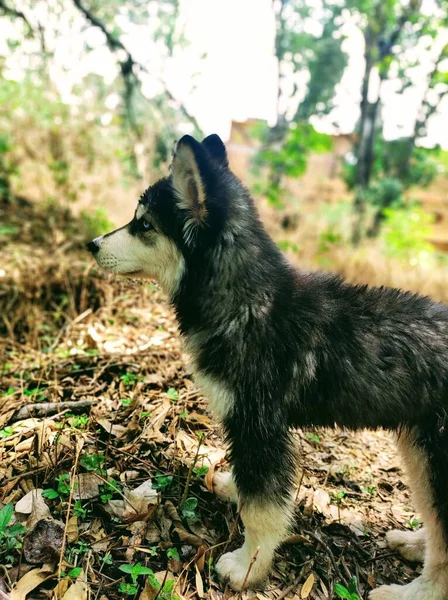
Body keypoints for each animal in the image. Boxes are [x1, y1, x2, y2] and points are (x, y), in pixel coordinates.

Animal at [87, 134, 448, 596]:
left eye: (145, 225)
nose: (91, 244)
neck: (247, 301)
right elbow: (251, 485)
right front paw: (233, 488)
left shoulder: (259, 427)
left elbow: (262, 510)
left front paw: (248, 565)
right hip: (419, 450)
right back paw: (414, 543)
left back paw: (414, 591)